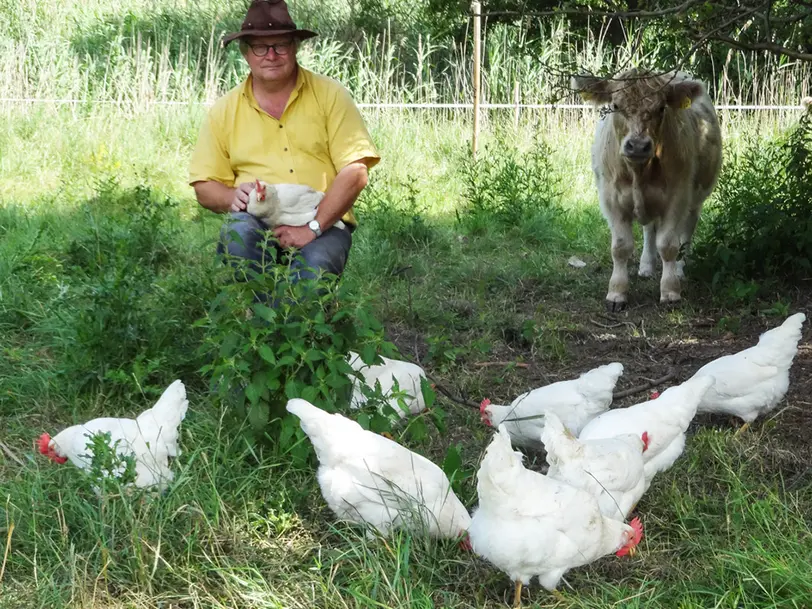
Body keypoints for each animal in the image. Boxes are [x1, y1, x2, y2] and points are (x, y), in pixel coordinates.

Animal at [572, 69, 724, 312]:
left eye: (661, 108)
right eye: (615, 105)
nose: (637, 145)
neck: (639, 173)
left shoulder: (676, 198)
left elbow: (669, 245)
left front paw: (670, 291)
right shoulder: (612, 199)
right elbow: (620, 247)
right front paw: (617, 292)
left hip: (694, 200)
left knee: (686, 233)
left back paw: (680, 269)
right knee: (649, 229)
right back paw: (646, 266)